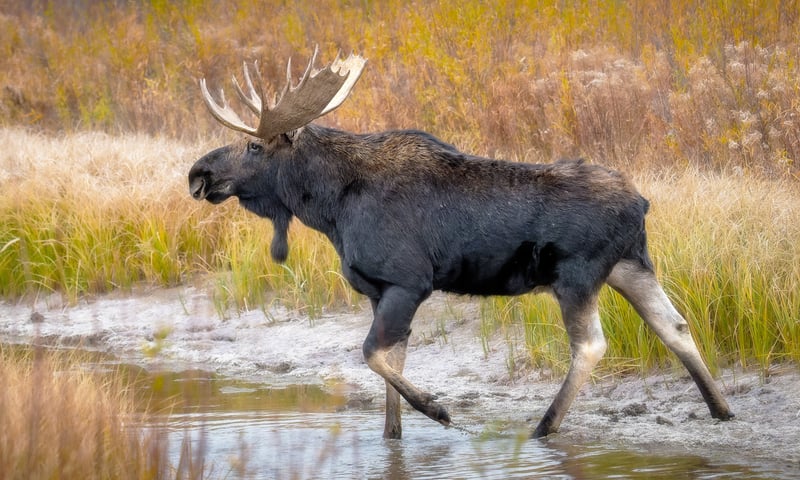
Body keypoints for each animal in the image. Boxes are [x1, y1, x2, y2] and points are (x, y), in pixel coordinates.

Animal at [188, 47, 734, 439]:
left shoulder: (408, 281)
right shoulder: (378, 291)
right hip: (631, 264)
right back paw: (722, 409)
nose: (198, 174)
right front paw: (393, 437)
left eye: (253, 145)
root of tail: (641, 203)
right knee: (674, 326)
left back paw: (544, 426)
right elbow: (390, 365)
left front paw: (438, 410)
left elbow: (371, 355)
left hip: (577, 275)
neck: (330, 207)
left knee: (591, 345)